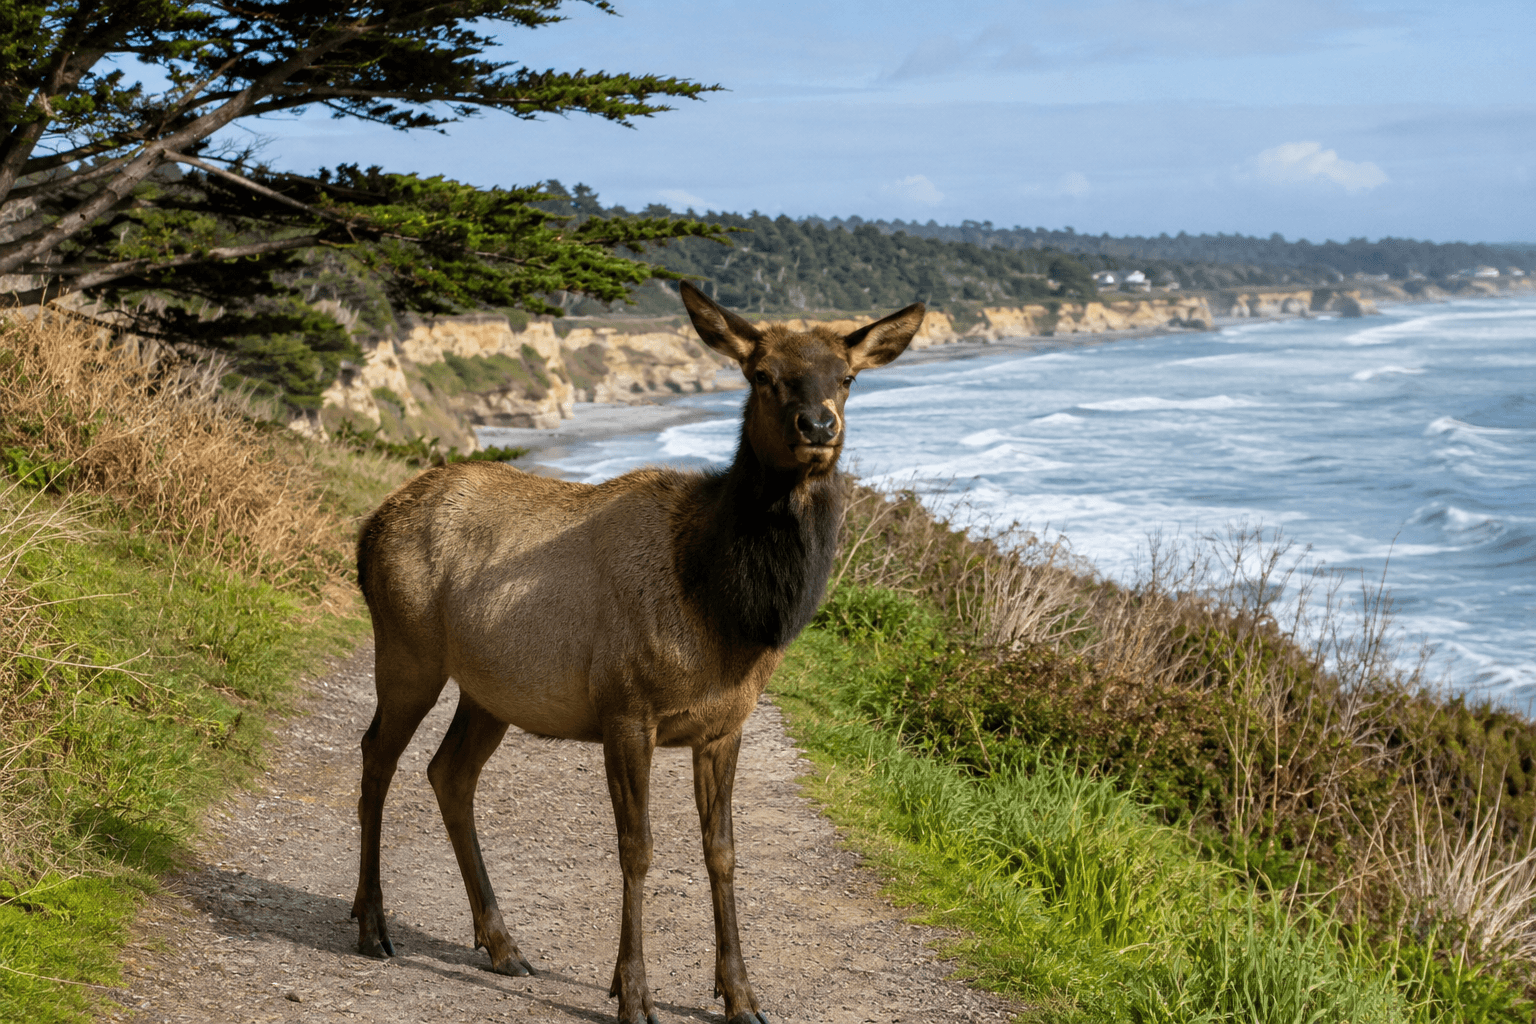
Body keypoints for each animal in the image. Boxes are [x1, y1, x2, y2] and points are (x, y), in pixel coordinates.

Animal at [350, 281, 925, 1024]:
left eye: (848, 377)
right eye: (761, 373)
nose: (817, 425)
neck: (723, 612)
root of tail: (367, 528)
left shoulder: (725, 724)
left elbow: (722, 851)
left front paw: (741, 995)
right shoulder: (626, 706)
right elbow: (637, 848)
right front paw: (632, 993)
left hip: (489, 688)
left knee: (448, 772)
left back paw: (502, 944)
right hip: (406, 649)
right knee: (376, 758)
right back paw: (372, 925)